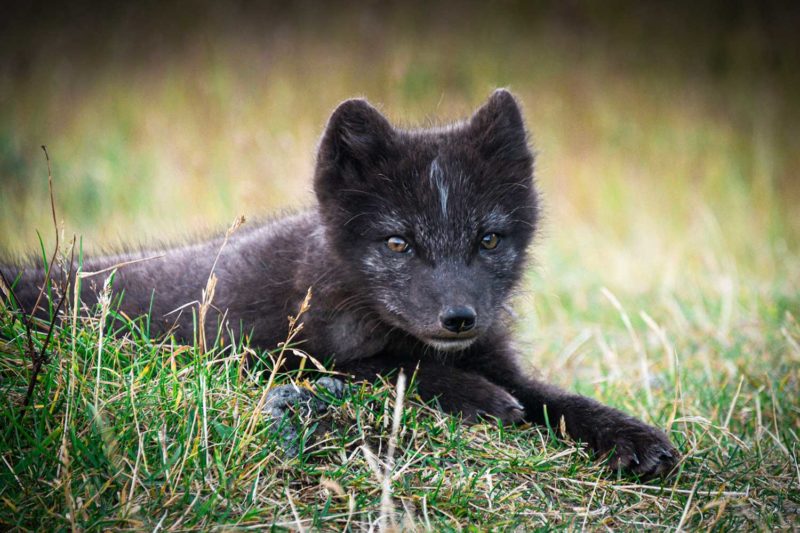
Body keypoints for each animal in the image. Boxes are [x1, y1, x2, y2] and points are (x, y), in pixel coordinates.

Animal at [3, 89, 680, 476]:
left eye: (488, 239)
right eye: (397, 243)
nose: (460, 319)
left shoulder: (496, 356)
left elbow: (556, 398)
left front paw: (631, 435)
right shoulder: (259, 355)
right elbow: (383, 367)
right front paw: (479, 398)